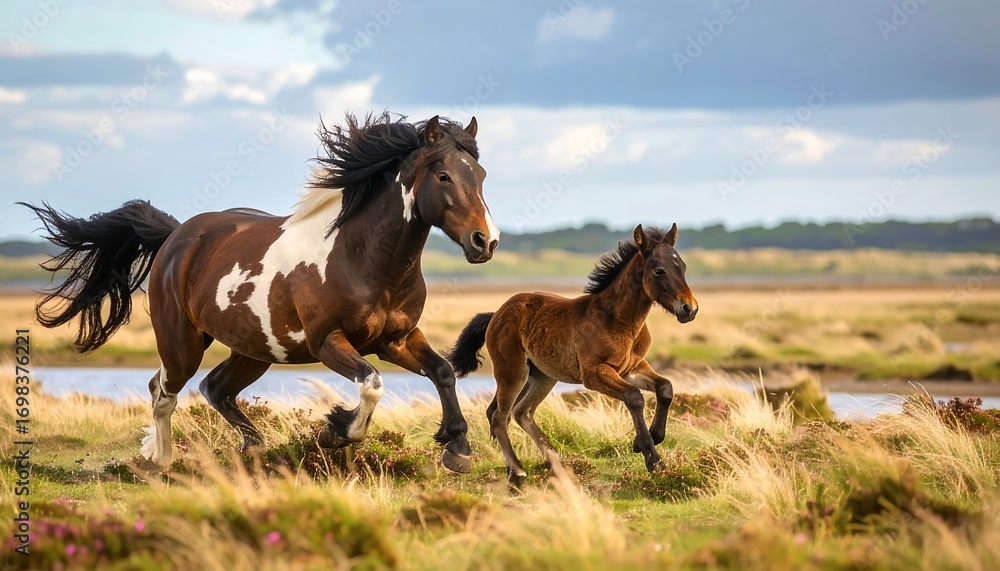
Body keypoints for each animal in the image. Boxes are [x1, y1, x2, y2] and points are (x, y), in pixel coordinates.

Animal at [21, 112, 499, 473]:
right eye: (444, 175)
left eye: (481, 175)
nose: (486, 241)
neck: (363, 257)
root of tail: (177, 235)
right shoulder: (329, 342)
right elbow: (372, 384)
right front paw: (335, 431)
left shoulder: (395, 340)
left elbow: (442, 372)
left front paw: (457, 448)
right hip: (182, 342)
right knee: (164, 391)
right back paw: (162, 460)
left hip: (256, 350)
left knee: (213, 387)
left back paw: (253, 448)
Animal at [445, 224, 698, 486]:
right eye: (659, 270)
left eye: (682, 267)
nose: (689, 309)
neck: (618, 321)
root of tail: (496, 314)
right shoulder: (594, 374)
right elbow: (634, 397)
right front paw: (652, 457)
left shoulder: (633, 368)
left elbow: (665, 388)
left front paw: (652, 438)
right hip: (512, 373)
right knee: (499, 417)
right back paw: (518, 471)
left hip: (541, 377)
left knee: (520, 412)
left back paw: (553, 464)